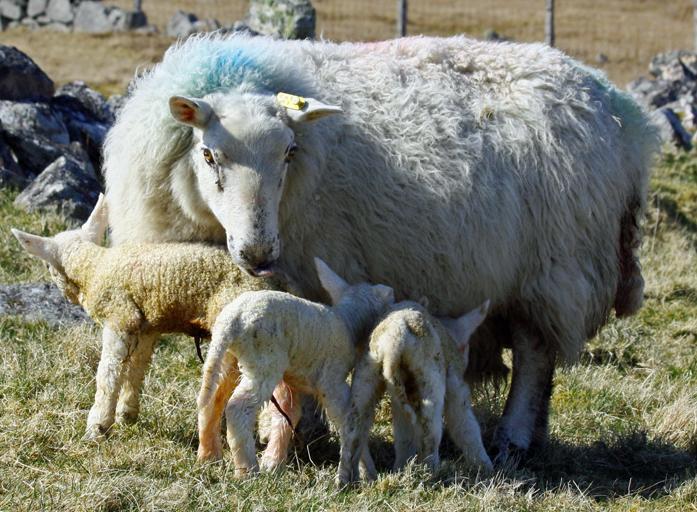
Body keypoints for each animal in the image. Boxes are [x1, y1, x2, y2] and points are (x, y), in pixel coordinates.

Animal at [13, 196, 290, 440]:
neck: (95, 268)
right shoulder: (145, 326)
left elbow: (108, 373)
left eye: (47, 266)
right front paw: (127, 415)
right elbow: (136, 367)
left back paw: (267, 436)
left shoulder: (119, 317)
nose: (67, 296)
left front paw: (97, 427)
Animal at [103, 34, 656, 458]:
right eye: (208, 154)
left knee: (534, 355)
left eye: (290, 152)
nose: (260, 253)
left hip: (555, 267)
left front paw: (300, 435)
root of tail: (622, 112)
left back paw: (514, 438)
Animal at [196, 260, 394, 484]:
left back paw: (208, 455)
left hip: (226, 355)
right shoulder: (332, 381)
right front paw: (366, 471)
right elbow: (348, 419)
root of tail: (232, 321)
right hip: (264, 361)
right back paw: (247, 471)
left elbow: (291, 409)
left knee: (212, 399)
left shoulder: (294, 379)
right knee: (238, 408)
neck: (347, 322)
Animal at [338, 300, 492, 480]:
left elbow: (404, 433)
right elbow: (464, 423)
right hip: (429, 371)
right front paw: (486, 467)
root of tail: (394, 340)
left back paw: (347, 479)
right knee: (430, 425)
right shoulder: (455, 381)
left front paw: (402, 467)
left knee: (353, 424)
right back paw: (431, 472)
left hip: (367, 370)